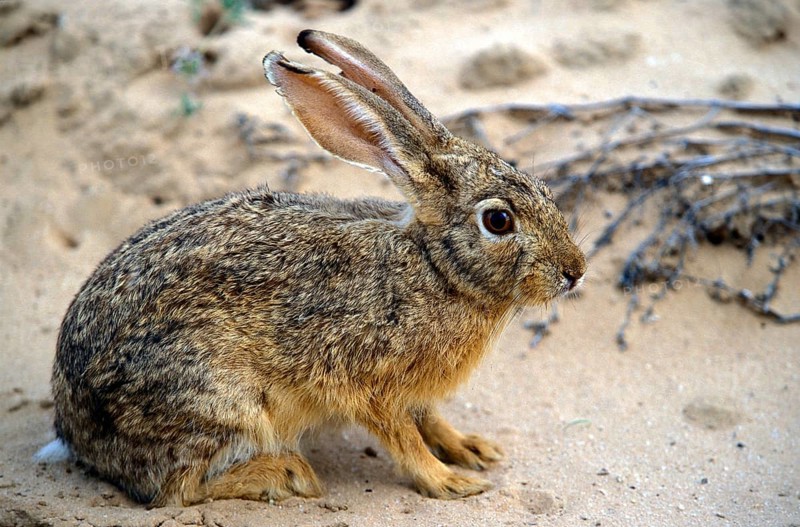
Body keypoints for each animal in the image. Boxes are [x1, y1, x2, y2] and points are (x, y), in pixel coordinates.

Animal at [40, 29, 586, 507]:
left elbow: (431, 419)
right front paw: (449, 481)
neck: (437, 267)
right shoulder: (367, 380)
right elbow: (403, 437)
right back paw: (284, 473)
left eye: (544, 189)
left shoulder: (414, 389)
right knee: (174, 491)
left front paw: (472, 449)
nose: (575, 270)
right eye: (498, 220)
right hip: (217, 399)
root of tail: (77, 436)